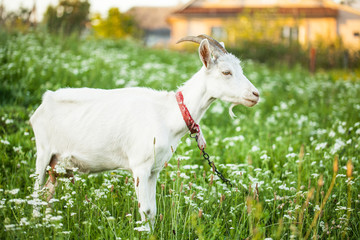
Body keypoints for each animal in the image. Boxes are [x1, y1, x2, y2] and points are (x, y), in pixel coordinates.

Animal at [28, 34, 258, 227]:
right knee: (37, 192)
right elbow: (145, 210)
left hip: (58, 164)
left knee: (48, 194)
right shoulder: (140, 166)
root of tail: (45, 101)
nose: (255, 94)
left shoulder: (154, 169)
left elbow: (153, 211)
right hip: (43, 152)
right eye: (226, 72)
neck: (167, 114)